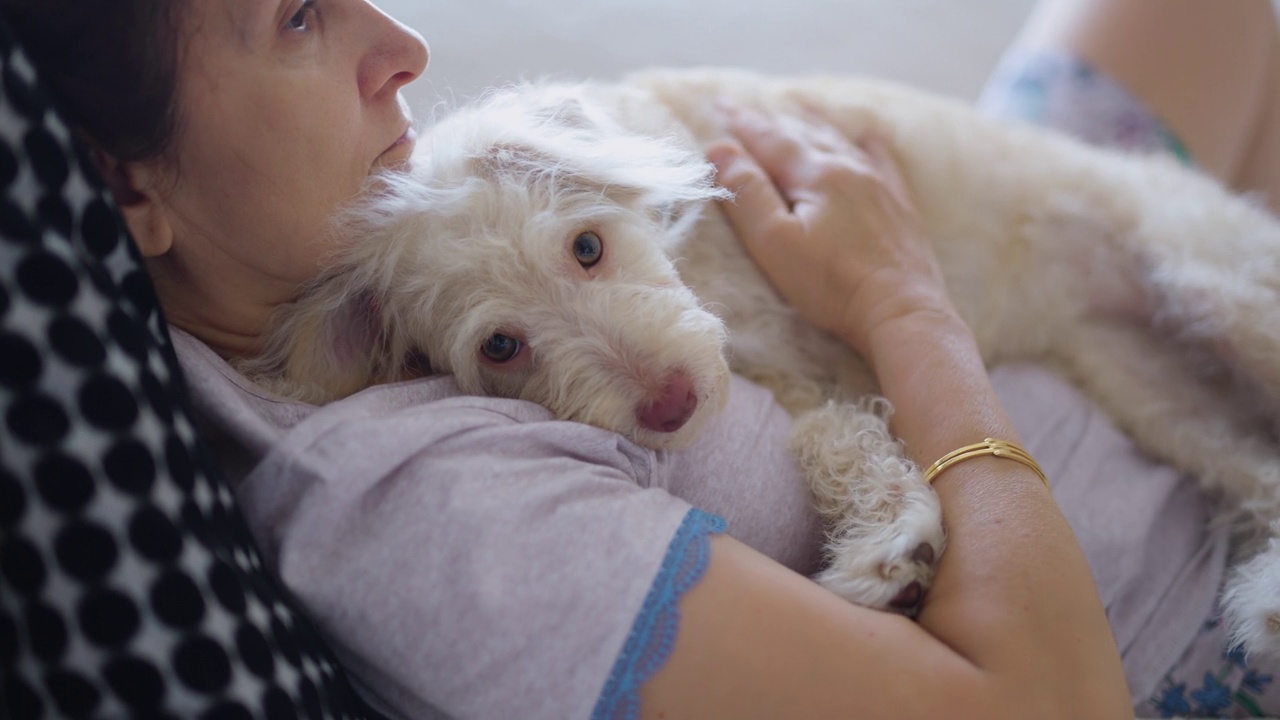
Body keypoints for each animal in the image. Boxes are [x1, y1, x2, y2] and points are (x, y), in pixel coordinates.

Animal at [241, 68, 1280, 650]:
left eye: (586, 246)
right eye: (502, 346)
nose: (666, 404)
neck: (705, 262)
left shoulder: (830, 348)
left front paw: (891, 546)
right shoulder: (807, 382)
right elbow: (840, 441)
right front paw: (893, 550)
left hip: (1220, 291)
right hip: (1156, 392)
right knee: (1261, 470)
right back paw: (1262, 608)